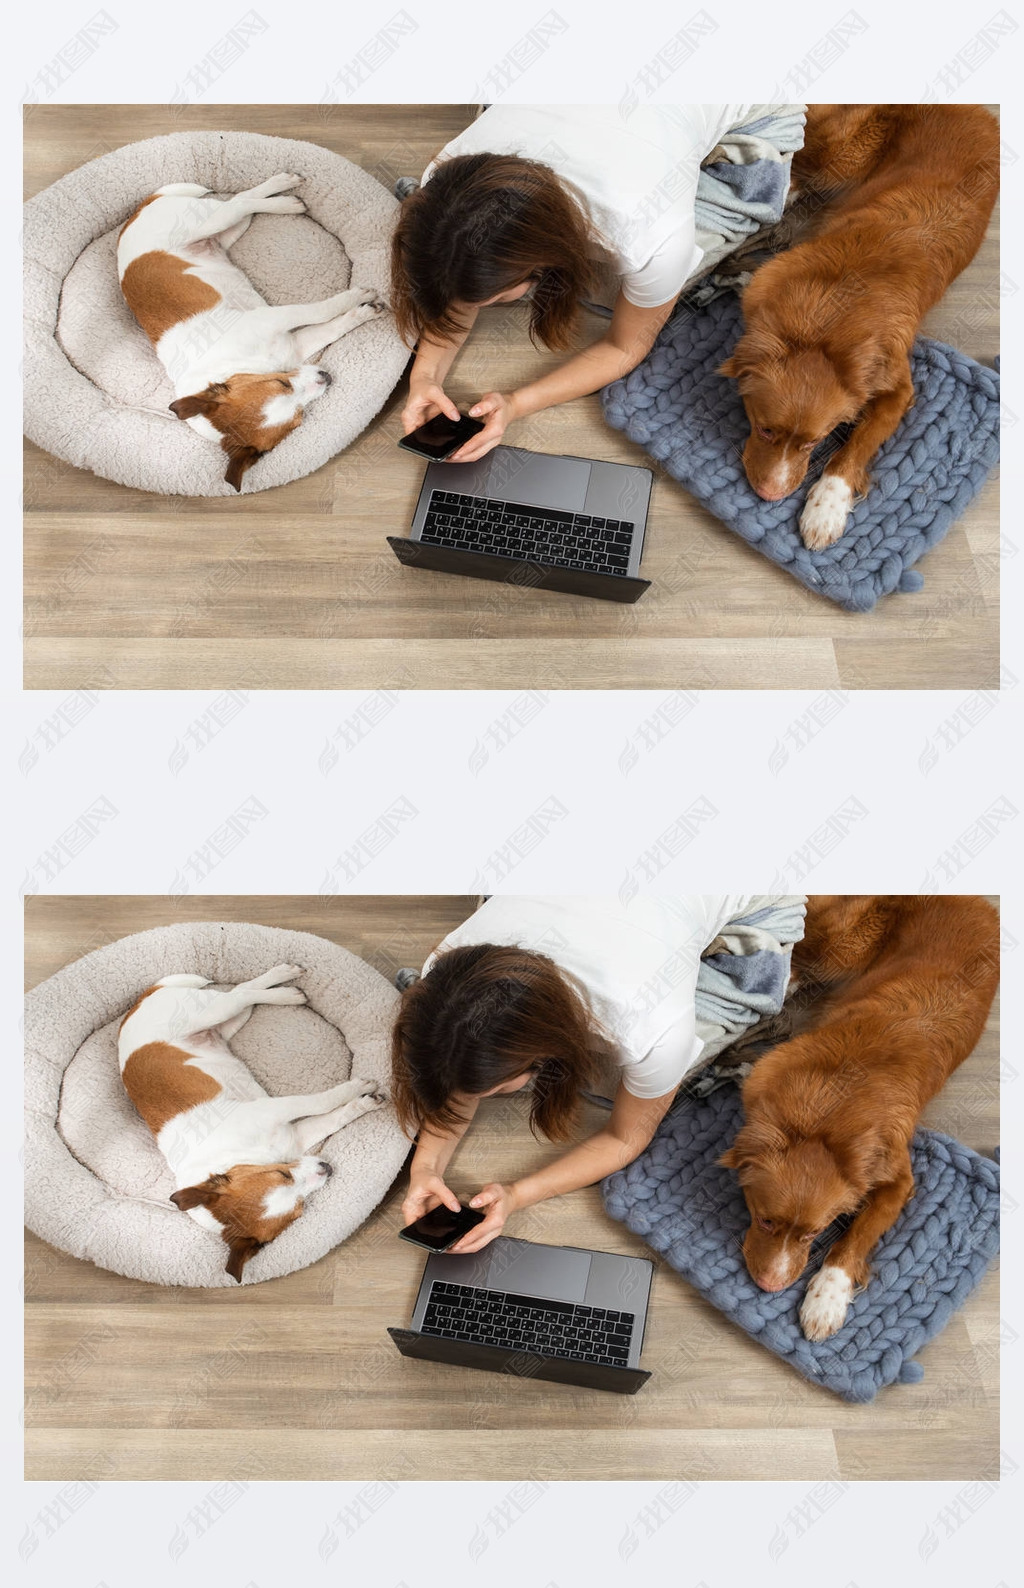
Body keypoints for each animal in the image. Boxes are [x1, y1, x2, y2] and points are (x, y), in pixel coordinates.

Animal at [115, 170, 379, 485]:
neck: (236, 363)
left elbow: (321, 309)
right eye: (299, 417)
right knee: (243, 204)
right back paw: (285, 198)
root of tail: (135, 214)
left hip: (209, 222)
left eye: (281, 383)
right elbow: (332, 324)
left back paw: (284, 193)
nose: (326, 376)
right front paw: (361, 312)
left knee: (240, 202)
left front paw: (356, 298)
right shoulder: (295, 345)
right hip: (227, 234)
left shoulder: (274, 318)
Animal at [115, 959, 379, 1283]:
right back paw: (285, 988)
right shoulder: (296, 1136)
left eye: (282, 1175)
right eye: (299, 1211)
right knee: (242, 993)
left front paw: (356, 1089)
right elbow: (334, 1114)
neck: (236, 1154)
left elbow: (323, 1101)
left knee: (241, 993)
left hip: (210, 1012)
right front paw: (361, 1102)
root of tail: (137, 1005)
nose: (327, 1167)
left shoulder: (274, 1109)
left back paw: (285, 986)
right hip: (227, 1025)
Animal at [717, 105, 997, 549]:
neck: (828, 318)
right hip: (838, 154)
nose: (770, 495)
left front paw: (826, 506)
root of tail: (978, 110)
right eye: (764, 429)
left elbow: (860, 443)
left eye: (814, 442)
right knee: (788, 161)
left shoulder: (896, 385)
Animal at [717, 901, 997, 1333]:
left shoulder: (896, 1176)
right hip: (840, 946)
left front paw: (827, 1297)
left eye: (813, 1234)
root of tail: (980, 902)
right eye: (764, 1221)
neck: (828, 1108)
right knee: (790, 954)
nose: (770, 1286)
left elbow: (861, 1234)